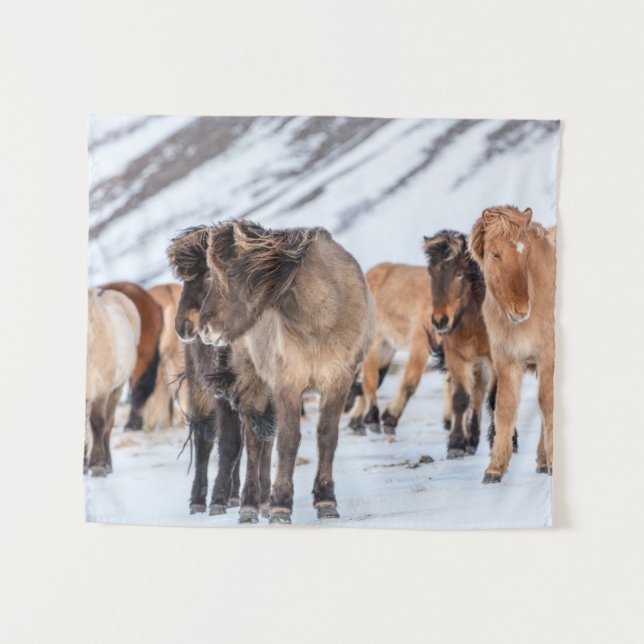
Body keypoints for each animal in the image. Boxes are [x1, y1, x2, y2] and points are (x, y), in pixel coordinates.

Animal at [85, 288, 140, 476]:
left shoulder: (102, 388)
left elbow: (98, 423)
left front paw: (98, 464)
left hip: (117, 388)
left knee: (108, 424)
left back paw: (107, 463)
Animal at [198, 220, 375, 524]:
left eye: (230, 273)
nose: (204, 328)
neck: (321, 318)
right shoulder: (287, 385)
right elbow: (289, 440)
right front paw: (281, 506)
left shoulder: (338, 382)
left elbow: (327, 437)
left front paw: (326, 501)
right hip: (254, 382)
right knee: (254, 442)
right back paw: (249, 506)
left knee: (265, 441)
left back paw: (262, 501)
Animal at [347, 263, 434, 435]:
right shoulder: (421, 341)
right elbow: (409, 383)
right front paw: (389, 418)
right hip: (377, 343)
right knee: (371, 379)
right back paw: (370, 416)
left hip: (387, 347)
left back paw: (357, 420)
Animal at [469, 205, 556, 482]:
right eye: (495, 253)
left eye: (526, 251)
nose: (521, 310)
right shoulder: (506, 361)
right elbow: (504, 408)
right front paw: (495, 469)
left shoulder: (547, 356)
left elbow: (547, 404)